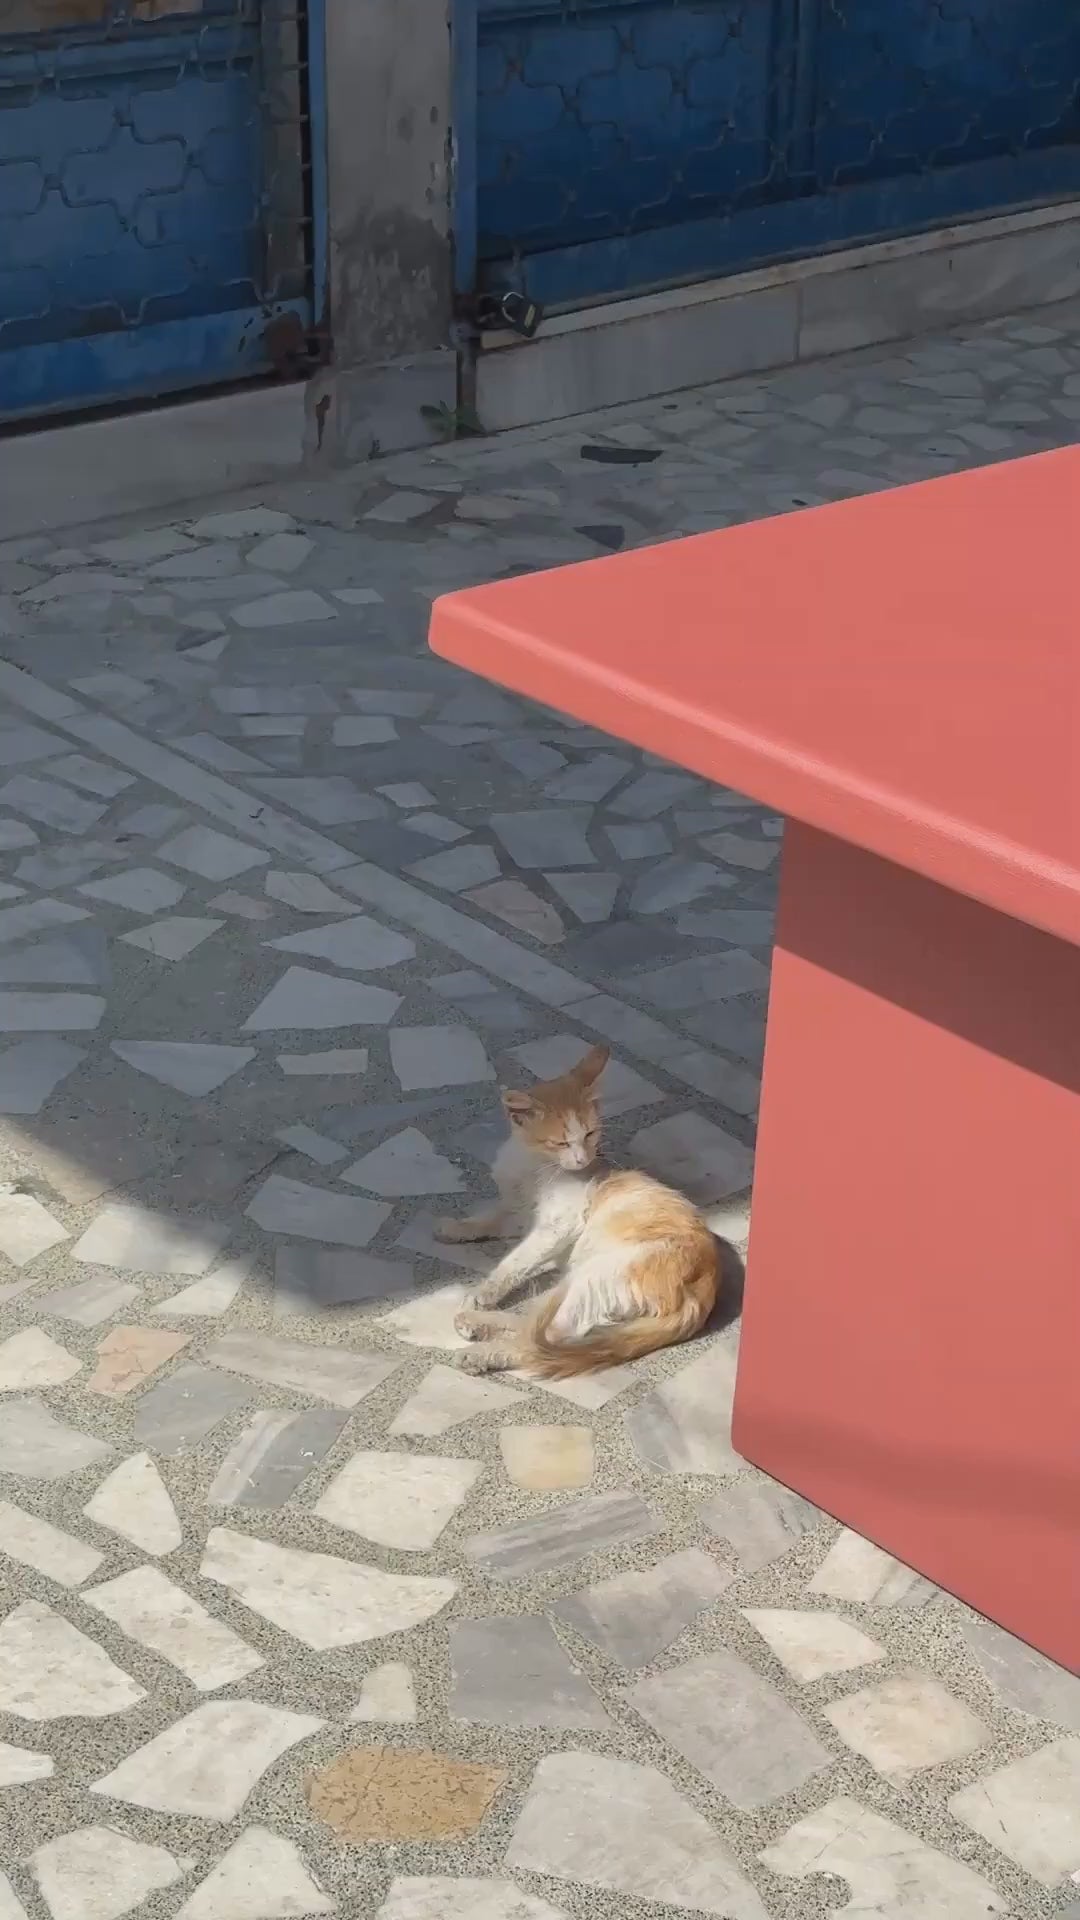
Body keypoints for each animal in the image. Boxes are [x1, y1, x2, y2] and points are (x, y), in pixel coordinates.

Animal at [435, 1043, 719, 1376]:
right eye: (560, 1143)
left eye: (590, 1134)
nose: (584, 1159)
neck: (534, 1166)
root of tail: (704, 1289)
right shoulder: (520, 1214)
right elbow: (490, 1219)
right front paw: (456, 1228)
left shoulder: (558, 1224)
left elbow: (514, 1262)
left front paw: (483, 1293)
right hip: (573, 1286)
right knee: (535, 1327)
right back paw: (476, 1324)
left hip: (593, 1276)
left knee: (544, 1341)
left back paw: (481, 1351)